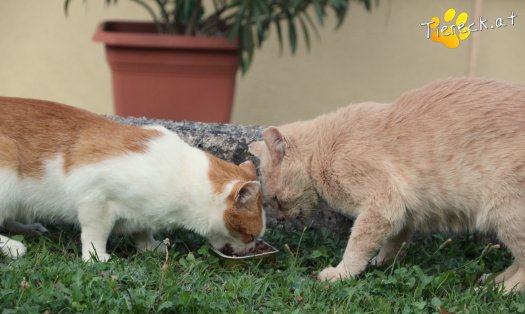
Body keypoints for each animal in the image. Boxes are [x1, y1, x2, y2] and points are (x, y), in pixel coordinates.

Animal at [0, 97, 262, 262]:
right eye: (250, 236)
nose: (251, 249)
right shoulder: (93, 196)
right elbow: (95, 232)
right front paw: (95, 256)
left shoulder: (143, 213)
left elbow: (142, 230)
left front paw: (150, 246)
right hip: (8, 173)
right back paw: (13, 246)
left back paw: (29, 228)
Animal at [249, 78, 524, 292]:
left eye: (275, 200)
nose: (281, 219)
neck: (322, 148)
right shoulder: (401, 212)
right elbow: (394, 241)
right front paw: (381, 263)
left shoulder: (382, 204)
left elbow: (356, 246)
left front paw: (341, 273)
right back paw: (494, 280)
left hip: (507, 214)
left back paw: (504, 290)